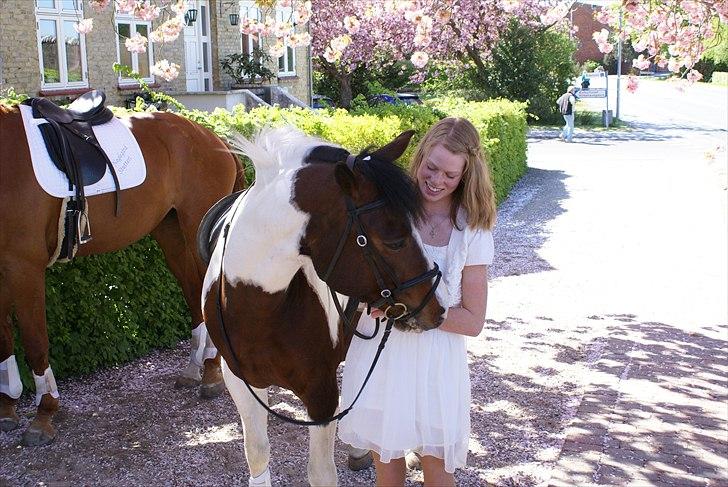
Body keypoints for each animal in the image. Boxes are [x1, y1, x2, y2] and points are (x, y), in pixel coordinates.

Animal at [0, 102, 242, 446]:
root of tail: (211, 136)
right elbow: (4, 338)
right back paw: (195, 368)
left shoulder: (24, 266)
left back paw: (210, 372)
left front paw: (43, 414)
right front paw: (7, 408)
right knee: (192, 290)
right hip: (170, 232)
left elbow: (34, 341)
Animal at [200, 127, 446, 486]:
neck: (258, 309)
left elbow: (320, 472)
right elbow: (257, 453)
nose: (437, 308)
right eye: (395, 241)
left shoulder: (321, 395)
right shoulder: (241, 382)